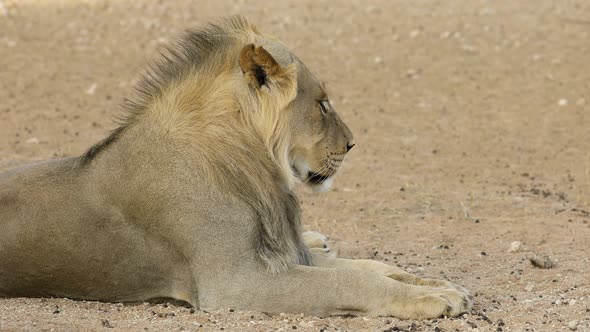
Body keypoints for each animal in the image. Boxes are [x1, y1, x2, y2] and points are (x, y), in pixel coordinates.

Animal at [0, 16, 472, 318]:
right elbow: (351, 282)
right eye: (322, 104)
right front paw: (434, 299)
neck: (249, 161)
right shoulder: (238, 281)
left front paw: (444, 287)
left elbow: (371, 268)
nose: (352, 144)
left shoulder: (273, 257)